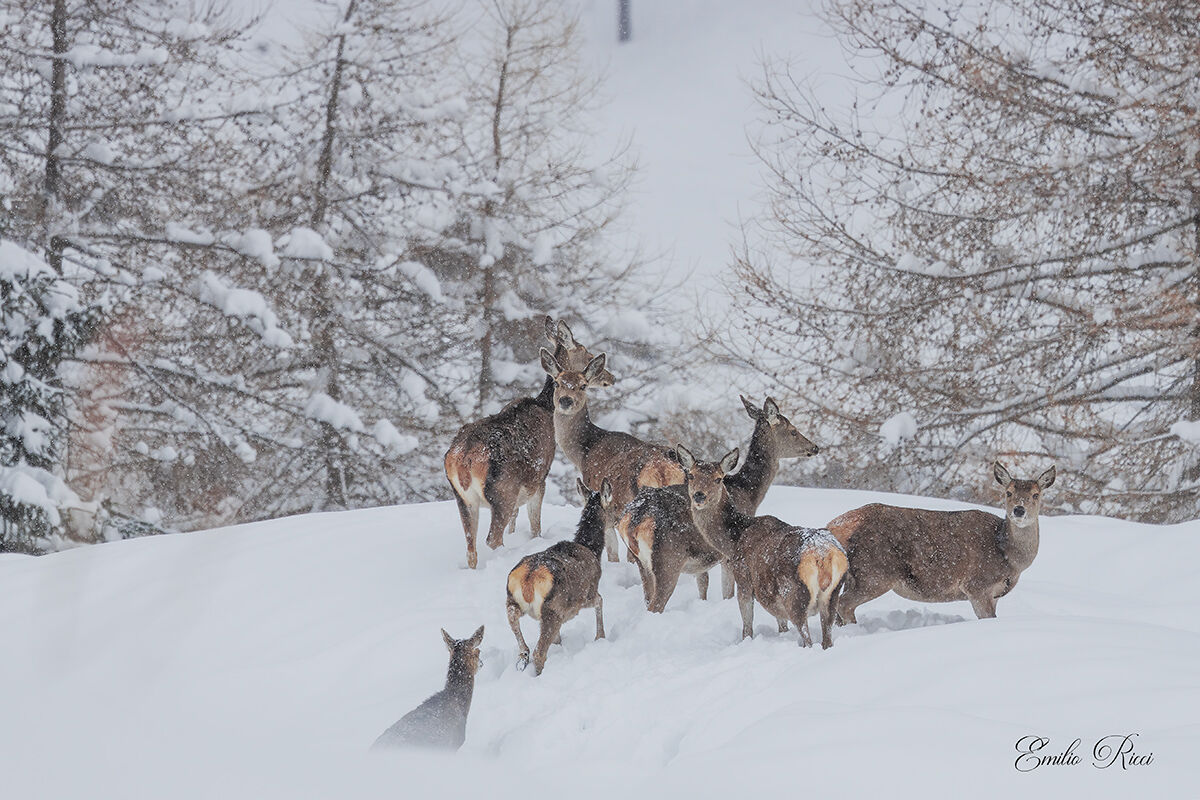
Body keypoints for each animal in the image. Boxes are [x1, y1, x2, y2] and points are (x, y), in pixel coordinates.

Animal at [445, 318, 614, 568]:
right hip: (502, 492)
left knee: (471, 548)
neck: (545, 406)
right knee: (492, 539)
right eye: (586, 352)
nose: (610, 378)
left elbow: (515, 522)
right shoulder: (540, 476)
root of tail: (463, 458)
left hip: (463, 499)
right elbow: (536, 526)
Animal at [505, 478, 613, 675]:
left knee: (514, 622)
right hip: (552, 609)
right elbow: (600, 600)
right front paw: (600, 636)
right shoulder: (586, 594)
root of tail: (528, 579)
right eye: (613, 506)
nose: (617, 520)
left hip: (512, 599)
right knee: (539, 652)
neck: (593, 550)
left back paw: (523, 658)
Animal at [539, 348, 683, 562]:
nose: (566, 400)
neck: (584, 452)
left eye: (583, 385)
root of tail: (661, 471)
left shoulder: (601, 500)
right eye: (557, 382)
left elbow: (612, 552)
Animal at [678, 445, 848, 649]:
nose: (699, 496)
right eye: (691, 475)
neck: (734, 540)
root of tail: (823, 556)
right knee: (827, 638)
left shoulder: (743, 577)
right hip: (832, 596)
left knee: (807, 638)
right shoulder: (774, 600)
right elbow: (781, 625)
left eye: (718, 478)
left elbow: (747, 626)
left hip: (794, 593)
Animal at [827, 461, 1056, 624]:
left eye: (1036, 494)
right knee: (845, 604)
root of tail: (834, 526)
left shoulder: (995, 593)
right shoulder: (977, 585)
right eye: (1008, 492)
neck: (1008, 558)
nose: (1019, 510)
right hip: (875, 571)